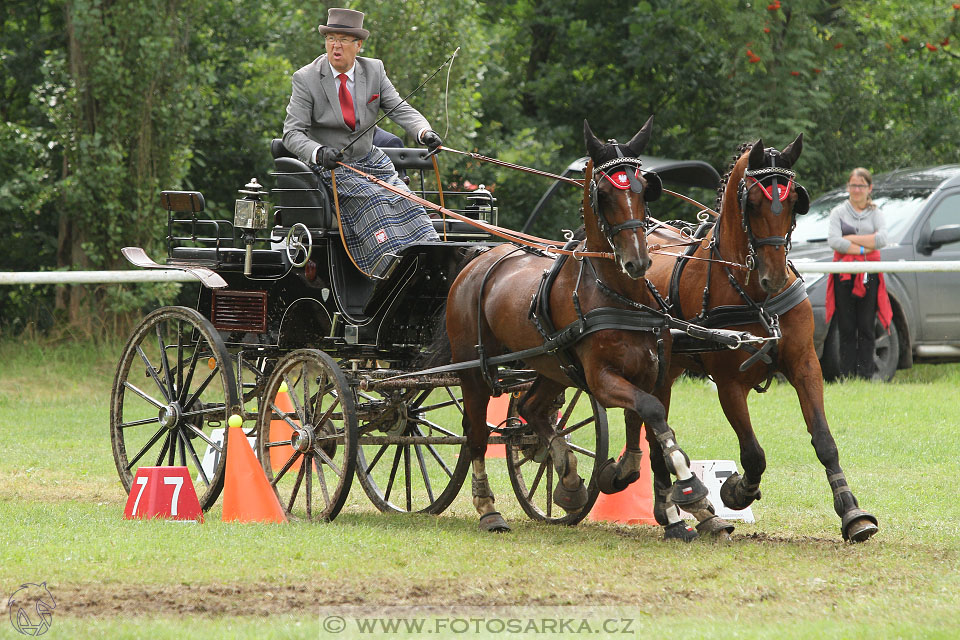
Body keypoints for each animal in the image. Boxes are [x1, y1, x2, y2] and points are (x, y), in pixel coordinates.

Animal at [446, 117, 724, 536]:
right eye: (605, 194)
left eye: (644, 189)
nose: (638, 261)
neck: (619, 295)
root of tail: (476, 260)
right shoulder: (602, 379)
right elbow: (650, 413)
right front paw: (688, 488)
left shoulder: (651, 371)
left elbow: (648, 424)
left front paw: (634, 480)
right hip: (474, 372)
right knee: (476, 435)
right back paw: (488, 508)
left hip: (551, 366)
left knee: (531, 407)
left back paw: (568, 476)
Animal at [644, 138, 876, 544]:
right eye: (752, 203)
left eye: (795, 201)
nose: (774, 277)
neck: (754, 292)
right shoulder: (728, 383)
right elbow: (753, 454)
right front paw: (736, 491)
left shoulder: (804, 364)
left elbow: (824, 441)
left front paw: (852, 512)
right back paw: (674, 515)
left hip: (665, 372)